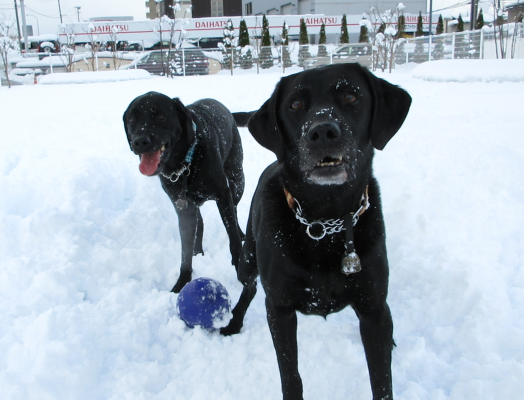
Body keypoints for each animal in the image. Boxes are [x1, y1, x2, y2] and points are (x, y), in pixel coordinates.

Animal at [123, 92, 245, 293]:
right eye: (132, 119)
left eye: (161, 116)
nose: (139, 141)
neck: (185, 164)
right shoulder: (182, 207)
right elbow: (185, 249)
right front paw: (182, 282)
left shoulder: (222, 195)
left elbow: (232, 237)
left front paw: (242, 273)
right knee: (200, 224)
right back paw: (198, 252)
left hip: (237, 178)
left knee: (234, 212)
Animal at [221, 64, 411, 400]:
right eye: (295, 104)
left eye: (351, 96)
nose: (323, 132)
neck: (325, 221)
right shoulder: (280, 308)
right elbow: (290, 376)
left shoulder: (373, 307)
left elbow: (382, 380)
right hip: (248, 259)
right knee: (250, 286)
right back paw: (234, 321)